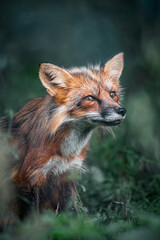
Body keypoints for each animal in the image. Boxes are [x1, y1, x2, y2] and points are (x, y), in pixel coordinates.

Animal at [0, 52, 126, 219]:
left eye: (113, 94)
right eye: (90, 98)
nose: (122, 111)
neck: (66, 152)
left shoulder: (67, 175)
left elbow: (72, 213)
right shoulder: (26, 178)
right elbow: (30, 217)